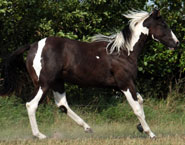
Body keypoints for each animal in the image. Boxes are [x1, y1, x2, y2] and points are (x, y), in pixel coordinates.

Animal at [0, 9, 179, 139]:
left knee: (62, 104)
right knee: (32, 104)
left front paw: (140, 127)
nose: (176, 43)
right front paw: (150, 133)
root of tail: (33, 46)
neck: (123, 52)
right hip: (44, 83)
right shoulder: (125, 84)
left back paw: (88, 128)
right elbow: (136, 108)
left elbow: (141, 101)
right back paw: (40, 135)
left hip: (57, 82)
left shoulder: (122, 86)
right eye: (163, 24)